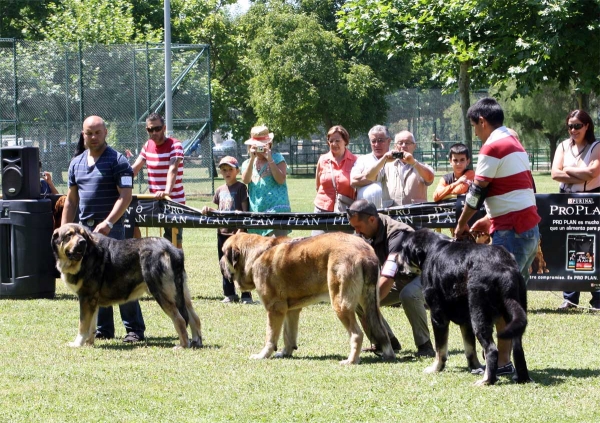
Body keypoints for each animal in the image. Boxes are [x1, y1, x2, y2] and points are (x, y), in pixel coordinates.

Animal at [52, 224, 202, 350]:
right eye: (69, 235)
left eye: (83, 235)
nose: (82, 242)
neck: (87, 255)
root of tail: (171, 249)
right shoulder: (92, 301)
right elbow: (91, 326)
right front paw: (88, 344)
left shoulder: (86, 298)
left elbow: (83, 325)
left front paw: (77, 344)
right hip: (181, 293)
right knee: (195, 318)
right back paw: (196, 341)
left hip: (162, 292)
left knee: (180, 319)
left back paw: (183, 345)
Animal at [220, 232, 394, 364]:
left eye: (223, 253)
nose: (220, 263)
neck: (257, 254)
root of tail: (365, 252)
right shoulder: (291, 311)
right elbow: (288, 334)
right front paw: (285, 352)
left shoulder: (275, 309)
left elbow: (270, 336)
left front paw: (263, 355)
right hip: (368, 305)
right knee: (381, 330)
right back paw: (388, 355)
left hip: (341, 303)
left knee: (357, 334)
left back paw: (350, 361)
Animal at [396, 230, 532, 386]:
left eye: (403, 251)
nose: (396, 263)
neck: (430, 249)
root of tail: (504, 268)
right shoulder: (466, 321)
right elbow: (470, 349)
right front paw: (476, 367)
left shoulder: (438, 316)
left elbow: (440, 349)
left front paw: (436, 368)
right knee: (518, 349)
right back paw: (522, 378)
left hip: (479, 314)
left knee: (491, 349)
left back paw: (487, 380)